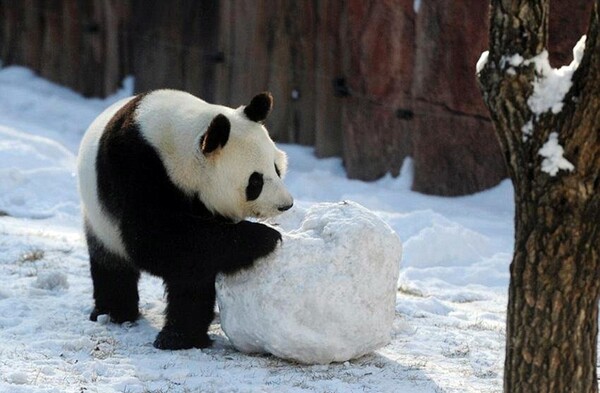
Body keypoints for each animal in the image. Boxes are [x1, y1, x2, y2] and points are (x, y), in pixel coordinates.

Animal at [77, 91, 292, 350]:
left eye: (277, 169)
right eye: (255, 182)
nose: (285, 204)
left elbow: (198, 257)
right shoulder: (134, 170)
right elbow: (157, 241)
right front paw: (265, 236)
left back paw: (180, 337)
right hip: (99, 220)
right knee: (111, 265)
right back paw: (115, 313)